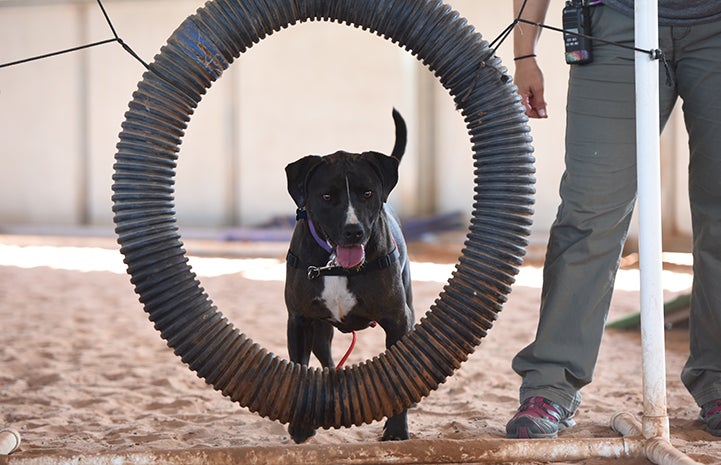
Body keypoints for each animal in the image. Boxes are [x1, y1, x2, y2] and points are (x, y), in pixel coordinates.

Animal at [284, 109, 414, 442]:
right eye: (327, 196)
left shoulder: (397, 320)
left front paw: (397, 430)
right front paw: (300, 426)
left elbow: (398, 379)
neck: (337, 265)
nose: (353, 231)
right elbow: (299, 371)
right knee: (328, 363)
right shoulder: (300, 322)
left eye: (367, 193)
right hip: (320, 331)